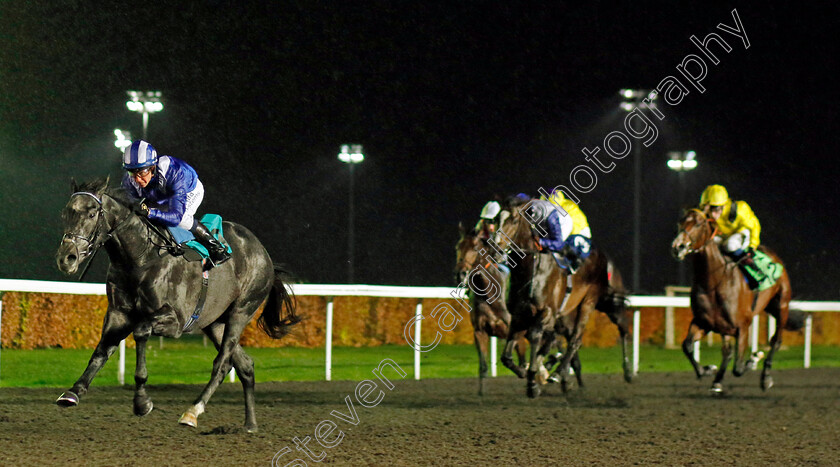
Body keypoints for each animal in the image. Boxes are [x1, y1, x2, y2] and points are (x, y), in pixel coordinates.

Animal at [54, 177, 300, 434]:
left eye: (92, 213)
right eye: (66, 213)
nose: (66, 258)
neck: (140, 257)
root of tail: (263, 253)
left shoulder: (176, 321)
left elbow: (141, 331)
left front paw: (142, 401)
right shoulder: (118, 313)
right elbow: (102, 350)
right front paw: (74, 391)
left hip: (241, 311)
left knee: (222, 364)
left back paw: (193, 412)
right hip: (214, 323)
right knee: (245, 365)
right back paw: (250, 425)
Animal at [452, 223, 524, 394]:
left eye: (475, 247)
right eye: (458, 247)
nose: (460, 274)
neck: (489, 293)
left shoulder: (515, 330)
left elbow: (514, 360)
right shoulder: (480, 331)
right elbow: (483, 367)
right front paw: (481, 393)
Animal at [492, 202, 632, 398]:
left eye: (513, 220)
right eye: (496, 219)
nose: (495, 249)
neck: (531, 270)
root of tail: (602, 255)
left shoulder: (547, 312)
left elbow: (534, 336)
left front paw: (533, 380)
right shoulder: (518, 315)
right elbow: (507, 355)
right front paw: (526, 371)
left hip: (593, 302)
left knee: (585, 337)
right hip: (570, 313)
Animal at [668, 210, 800, 394]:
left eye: (698, 223)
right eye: (679, 223)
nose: (678, 246)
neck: (714, 282)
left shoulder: (742, 326)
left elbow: (738, 368)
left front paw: (753, 359)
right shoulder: (703, 323)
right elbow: (687, 346)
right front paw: (707, 370)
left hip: (781, 306)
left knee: (776, 341)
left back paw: (765, 377)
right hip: (729, 325)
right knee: (727, 352)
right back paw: (717, 381)